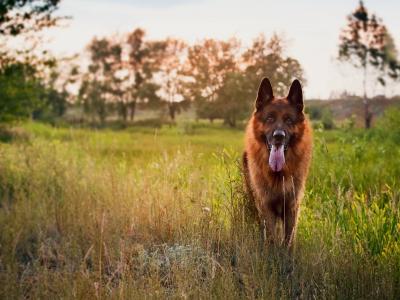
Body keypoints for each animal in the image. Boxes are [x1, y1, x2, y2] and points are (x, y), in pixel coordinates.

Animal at [241, 77, 312, 246]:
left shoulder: (292, 207)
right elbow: (272, 237)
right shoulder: (266, 206)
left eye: (288, 120)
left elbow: (289, 240)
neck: (279, 174)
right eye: (270, 119)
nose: (278, 136)